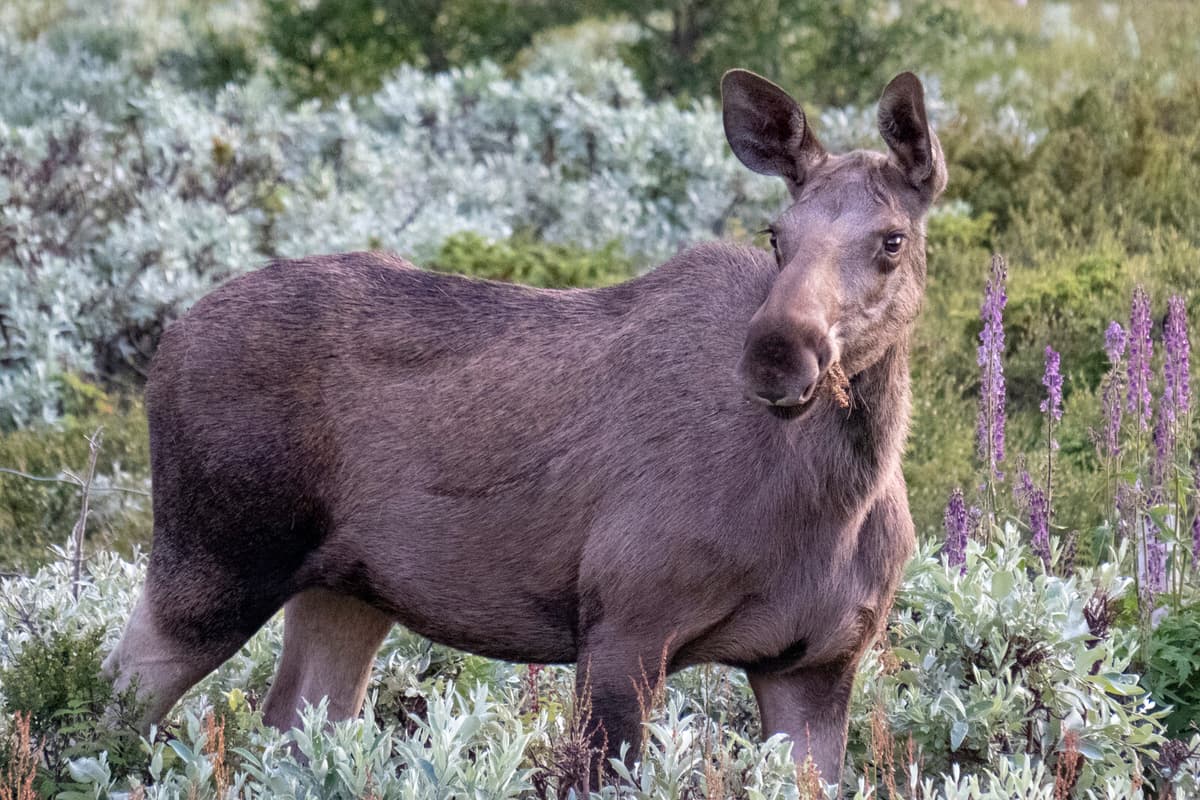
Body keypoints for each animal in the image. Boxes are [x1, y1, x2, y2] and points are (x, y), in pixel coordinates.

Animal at [104, 69, 945, 786]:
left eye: (892, 238)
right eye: (776, 234)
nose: (777, 354)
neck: (833, 506)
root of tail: (165, 346)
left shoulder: (815, 663)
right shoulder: (623, 626)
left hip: (344, 590)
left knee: (291, 726)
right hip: (214, 557)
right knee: (110, 703)